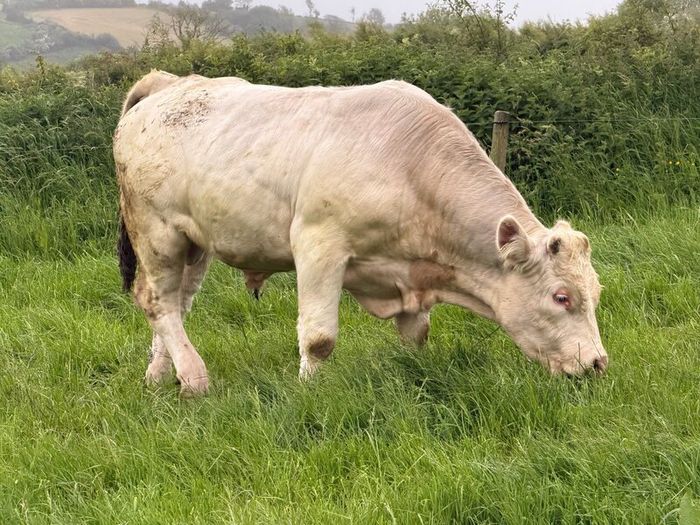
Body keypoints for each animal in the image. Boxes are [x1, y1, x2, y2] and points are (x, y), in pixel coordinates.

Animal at [114, 70, 608, 396]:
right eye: (562, 297)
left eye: (596, 293)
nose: (598, 363)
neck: (411, 167)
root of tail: (169, 81)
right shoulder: (318, 245)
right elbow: (319, 338)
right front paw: (311, 392)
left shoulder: (409, 273)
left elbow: (417, 334)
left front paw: (415, 372)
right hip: (157, 232)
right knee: (158, 300)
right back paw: (194, 378)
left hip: (195, 242)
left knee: (178, 302)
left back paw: (160, 375)